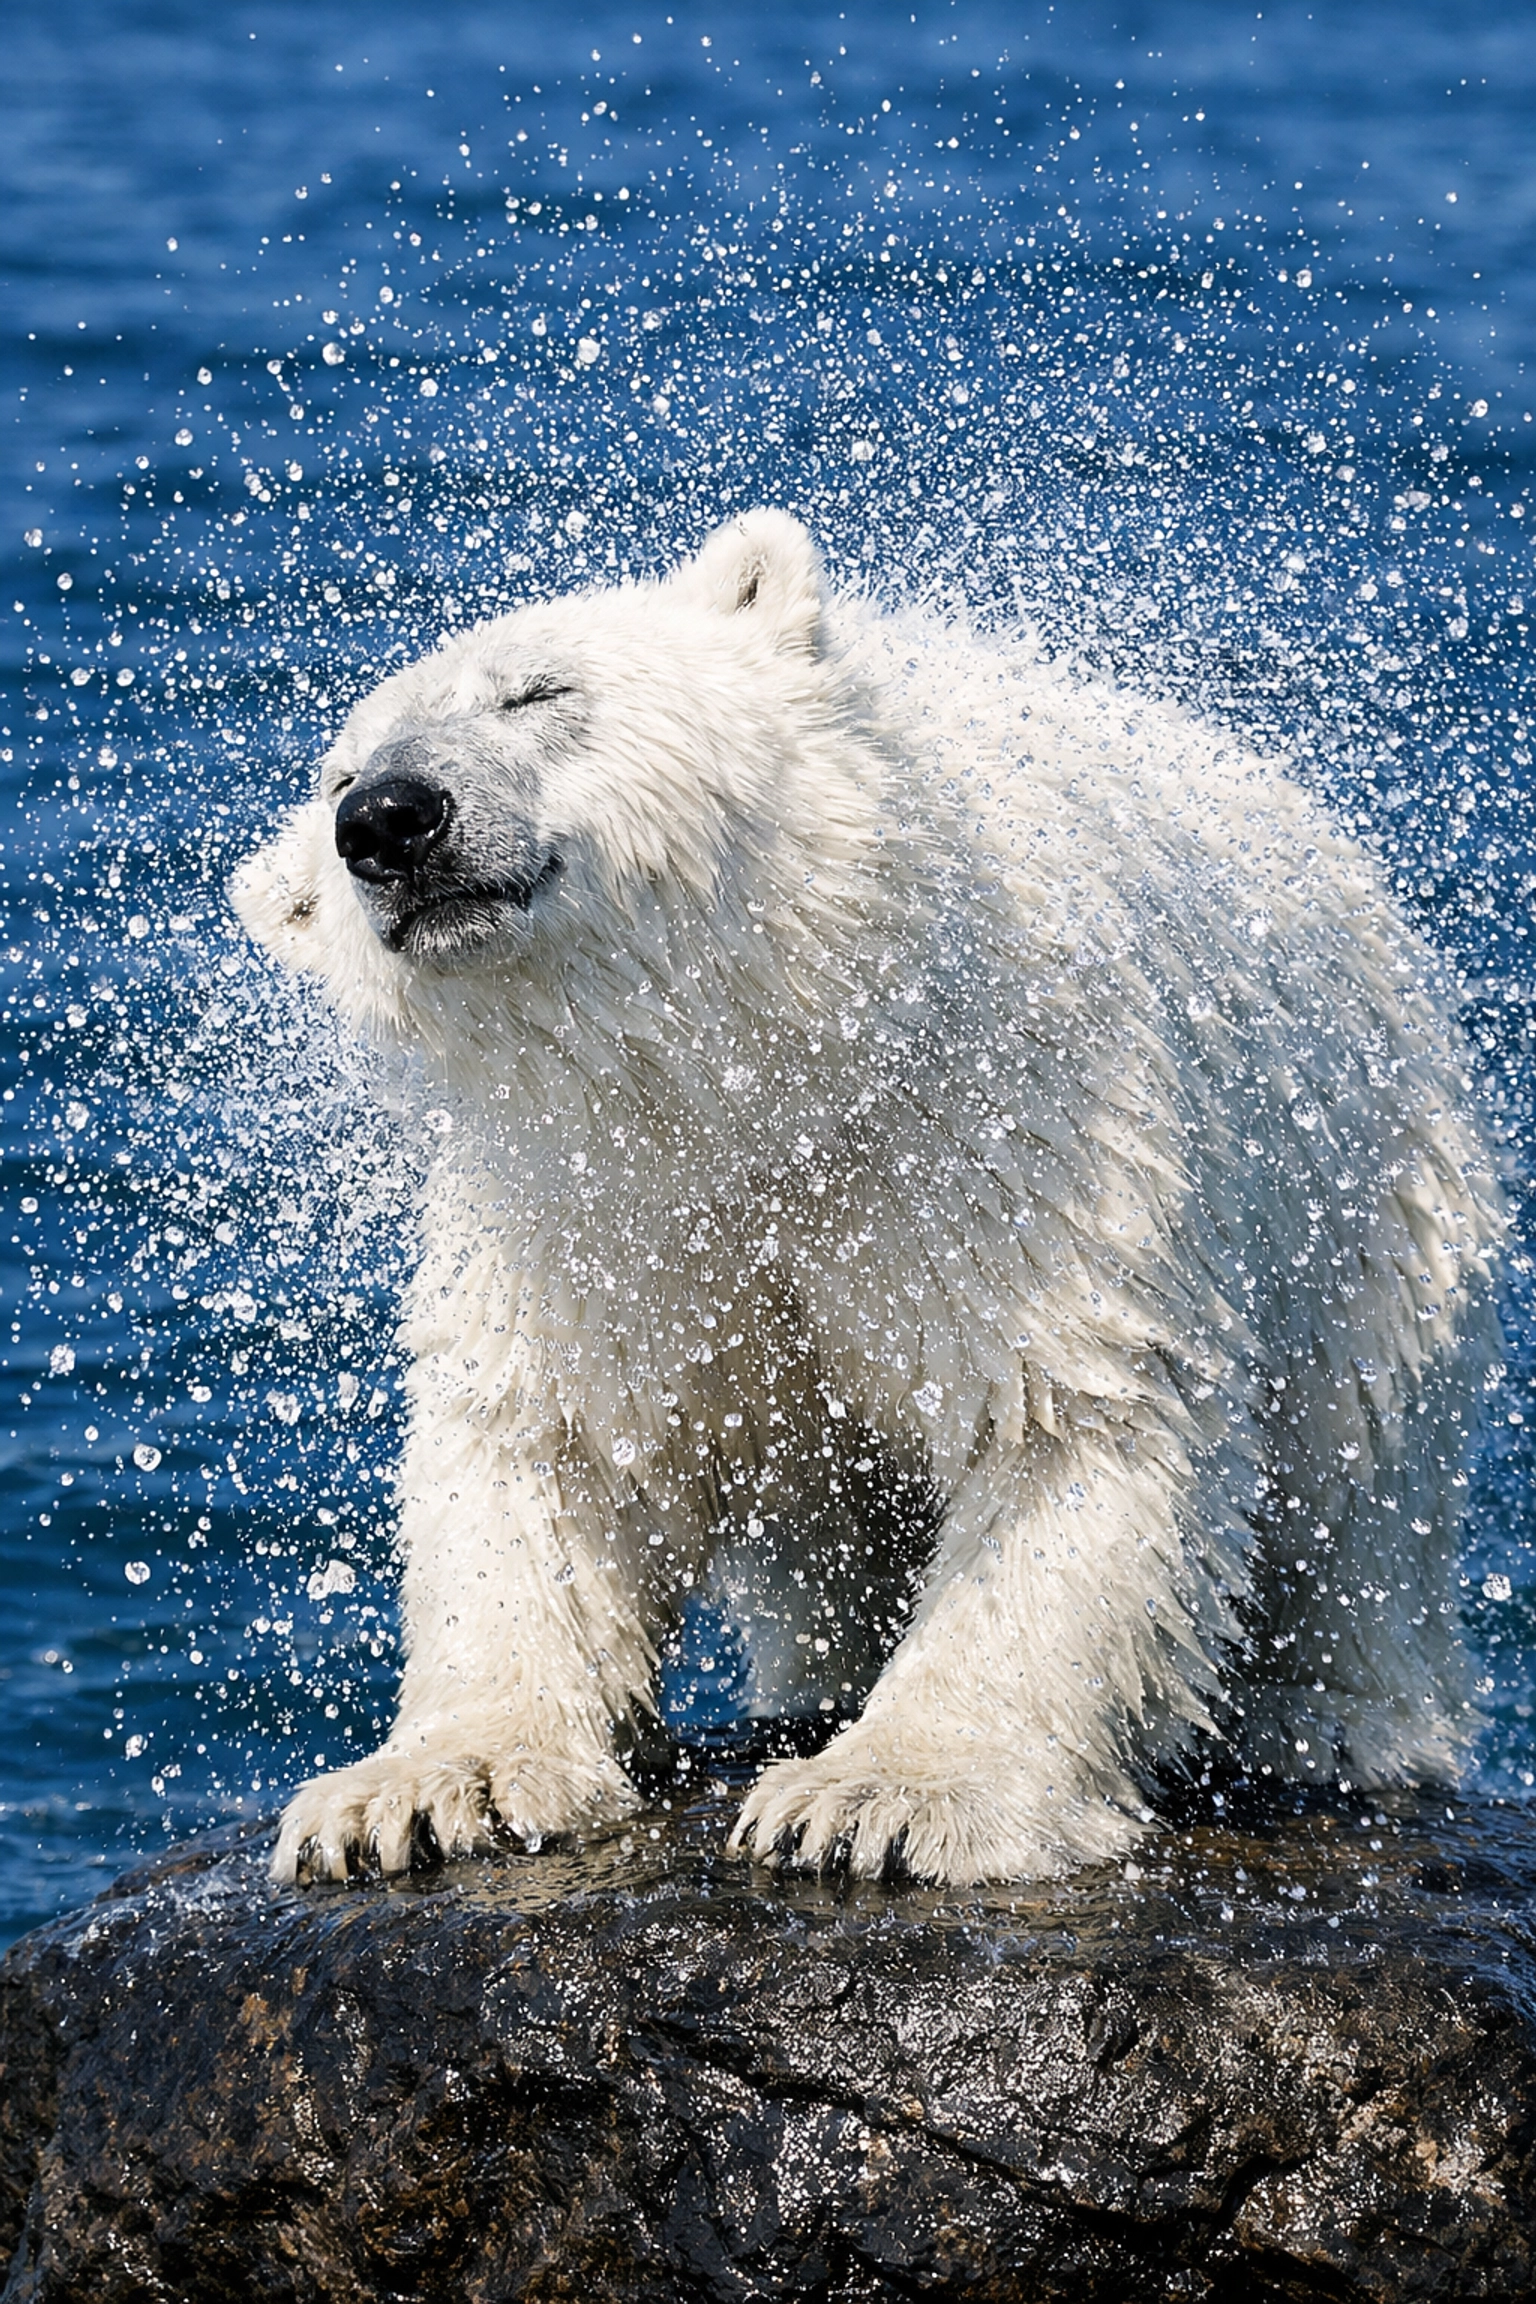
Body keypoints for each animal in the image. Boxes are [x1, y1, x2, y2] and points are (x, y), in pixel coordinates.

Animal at [234, 509, 1505, 1889]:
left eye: (540, 691)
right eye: (336, 777)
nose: (388, 818)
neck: (769, 1056)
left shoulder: (1006, 1123)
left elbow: (1063, 1416)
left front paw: (885, 1797)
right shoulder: (584, 1207)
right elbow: (546, 1441)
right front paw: (417, 1790)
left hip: (1368, 1203)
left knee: (1359, 1492)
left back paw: (1330, 1723)